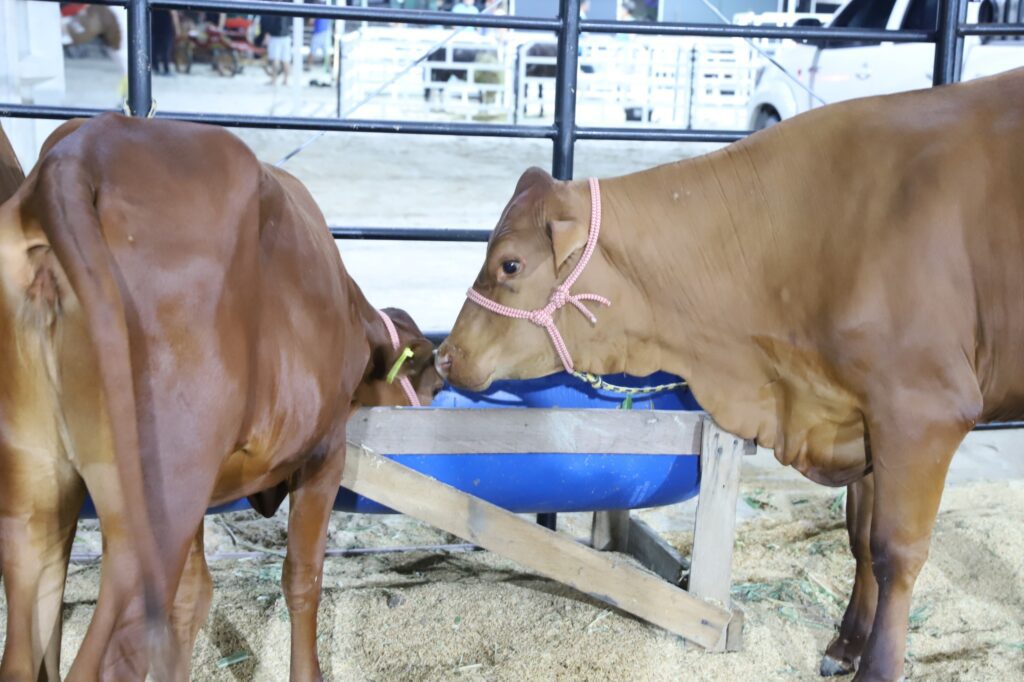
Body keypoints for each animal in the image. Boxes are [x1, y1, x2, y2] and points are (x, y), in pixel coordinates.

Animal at [0, 114, 440, 675]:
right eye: (431, 380)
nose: (442, 388)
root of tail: (83, 150)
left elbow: (193, 598)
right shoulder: (325, 454)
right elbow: (303, 579)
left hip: (34, 493)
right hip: (156, 503)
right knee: (114, 653)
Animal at [438, 67, 1024, 675]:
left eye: (510, 264)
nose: (445, 354)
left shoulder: (921, 411)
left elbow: (895, 551)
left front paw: (879, 668)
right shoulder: (861, 416)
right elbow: (860, 537)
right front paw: (845, 645)